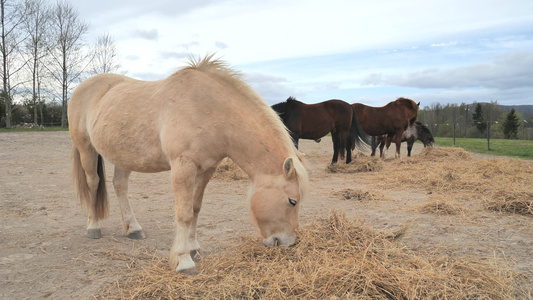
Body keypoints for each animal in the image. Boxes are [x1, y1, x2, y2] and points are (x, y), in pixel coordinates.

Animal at [67, 54, 308, 274]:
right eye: (292, 201)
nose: (288, 242)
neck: (208, 109)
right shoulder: (183, 167)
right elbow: (183, 213)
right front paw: (184, 261)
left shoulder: (207, 169)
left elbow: (195, 208)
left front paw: (194, 249)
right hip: (86, 149)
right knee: (93, 183)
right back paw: (93, 227)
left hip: (123, 156)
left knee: (120, 186)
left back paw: (133, 229)